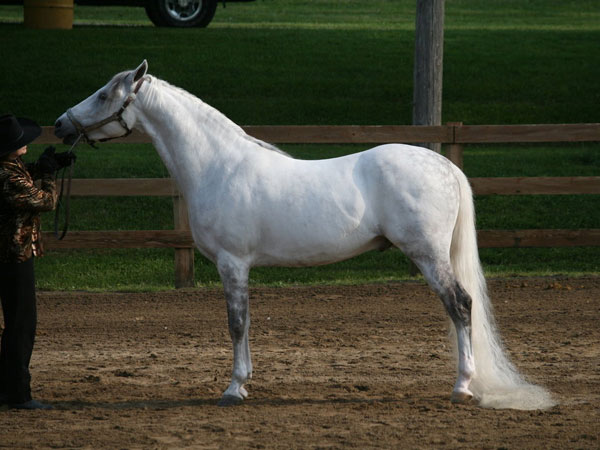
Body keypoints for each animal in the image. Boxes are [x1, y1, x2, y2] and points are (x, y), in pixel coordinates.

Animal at [54, 60, 556, 412]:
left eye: (104, 94)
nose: (60, 125)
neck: (218, 165)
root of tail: (446, 166)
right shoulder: (238, 266)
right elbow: (246, 323)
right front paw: (245, 383)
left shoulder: (232, 263)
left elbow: (236, 323)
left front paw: (234, 388)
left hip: (428, 254)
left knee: (460, 305)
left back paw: (462, 386)